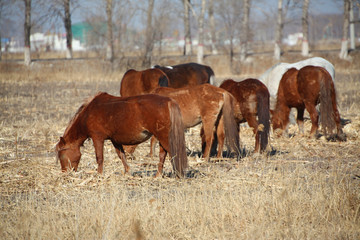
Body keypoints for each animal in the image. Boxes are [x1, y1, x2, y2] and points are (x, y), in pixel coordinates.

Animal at [55, 93, 188, 177]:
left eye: (61, 155)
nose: (65, 173)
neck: (88, 113)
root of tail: (169, 101)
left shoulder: (97, 138)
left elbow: (99, 157)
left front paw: (99, 175)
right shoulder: (115, 140)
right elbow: (121, 156)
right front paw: (127, 172)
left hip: (164, 137)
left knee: (172, 153)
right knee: (162, 155)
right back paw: (158, 175)